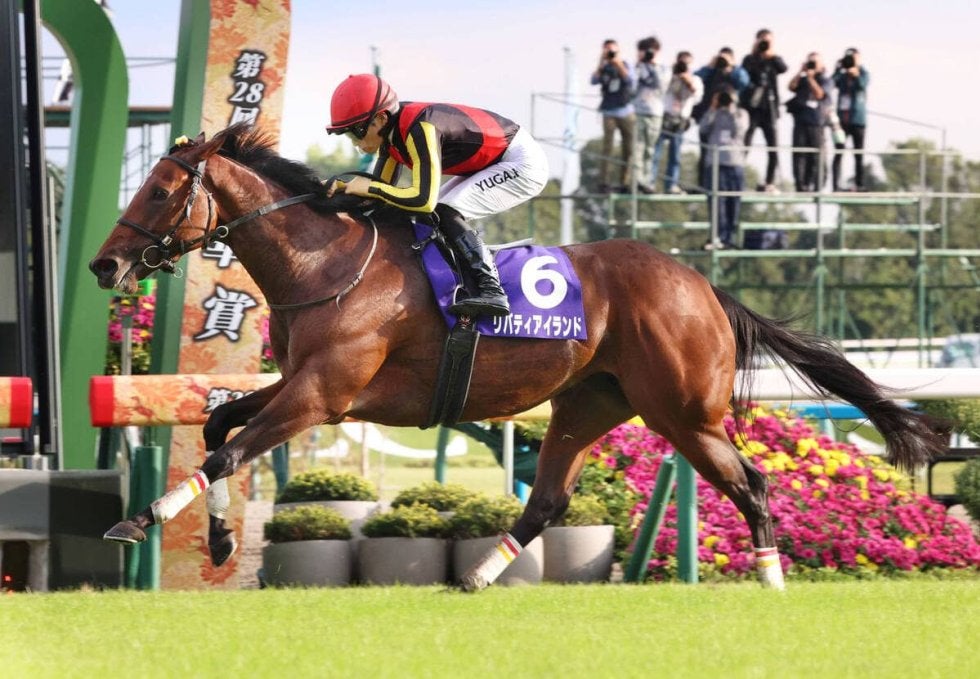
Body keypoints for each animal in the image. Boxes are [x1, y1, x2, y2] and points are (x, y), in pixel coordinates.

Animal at [89, 124, 946, 590]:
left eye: (160, 190)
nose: (105, 265)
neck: (326, 261)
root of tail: (702, 285)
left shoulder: (324, 393)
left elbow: (229, 451)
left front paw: (136, 522)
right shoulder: (301, 384)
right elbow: (218, 428)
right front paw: (221, 539)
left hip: (684, 414)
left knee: (753, 482)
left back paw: (770, 578)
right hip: (588, 403)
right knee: (548, 500)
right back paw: (474, 574)